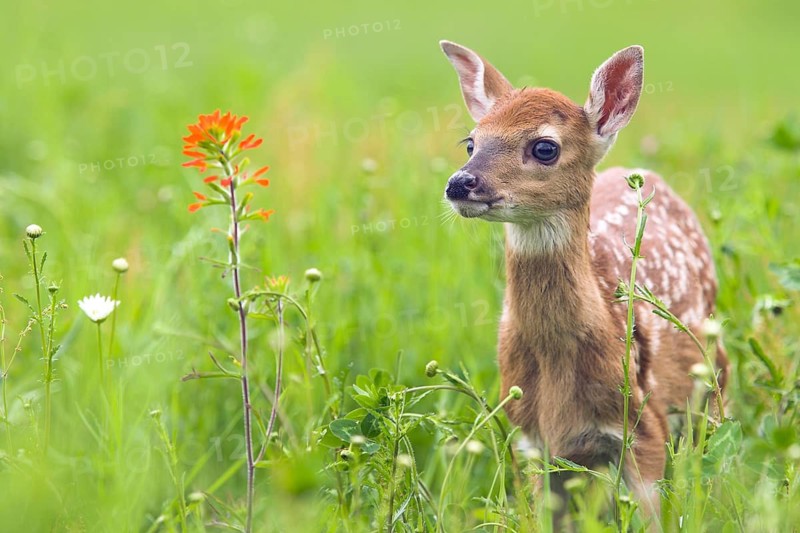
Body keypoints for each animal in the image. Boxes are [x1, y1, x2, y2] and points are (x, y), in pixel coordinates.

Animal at [439, 40, 728, 523]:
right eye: (471, 143)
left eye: (544, 147)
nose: (460, 183)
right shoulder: (534, 442)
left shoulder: (642, 428)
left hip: (713, 378)